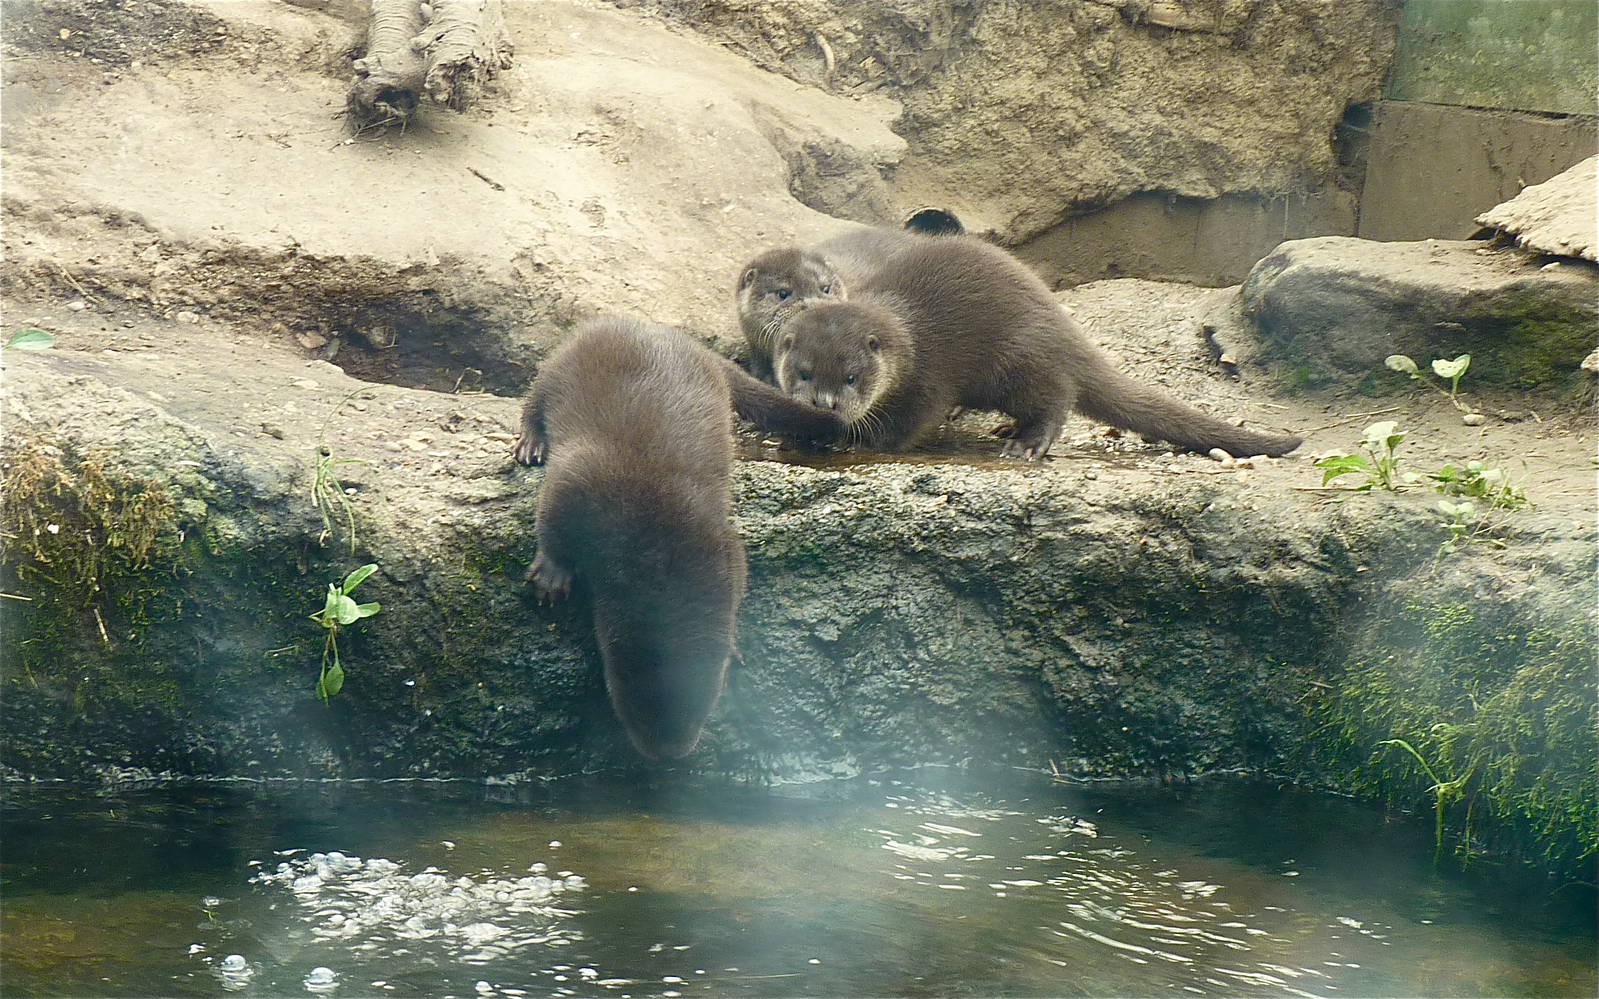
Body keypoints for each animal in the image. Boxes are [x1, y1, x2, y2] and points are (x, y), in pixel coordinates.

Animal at [513, 316, 775, 760]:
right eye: (626, 703)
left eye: (704, 704)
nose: (669, 753)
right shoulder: (582, 477)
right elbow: (553, 513)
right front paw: (551, 574)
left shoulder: (723, 543)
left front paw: (735, 645)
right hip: (560, 362)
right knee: (534, 396)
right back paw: (531, 443)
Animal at [768, 232, 1303, 459]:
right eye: (804, 372)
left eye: (852, 377)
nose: (825, 403)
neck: (907, 338)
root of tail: (1063, 327)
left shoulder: (929, 377)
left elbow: (910, 422)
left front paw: (858, 440)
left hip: (1021, 359)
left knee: (1056, 400)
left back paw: (1026, 443)